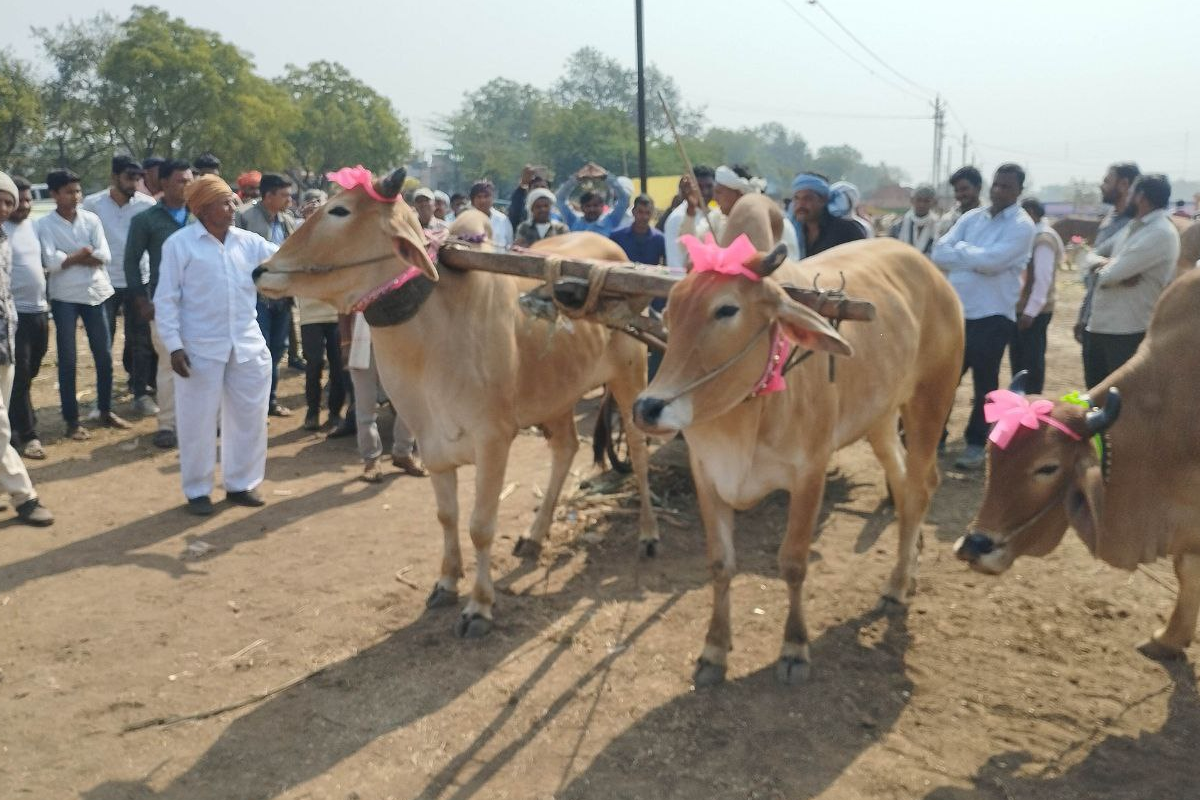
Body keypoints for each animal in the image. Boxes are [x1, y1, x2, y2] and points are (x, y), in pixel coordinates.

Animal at [252, 169, 657, 638]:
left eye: (339, 210)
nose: (260, 270)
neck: (430, 338)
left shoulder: (493, 440)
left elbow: (480, 526)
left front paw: (479, 606)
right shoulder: (431, 444)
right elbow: (447, 516)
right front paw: (446, 583)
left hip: (631, 377)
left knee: (639, 452)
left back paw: (648, 534)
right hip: (557, 395)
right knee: (566, 450)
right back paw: (534, 536)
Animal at [633, 232, 960, 690]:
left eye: (726, 309)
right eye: (671, 308)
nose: (647, 408)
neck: (748, 414)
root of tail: (930, 270)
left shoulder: (810, 475)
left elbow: (793, 563)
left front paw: (794, 647)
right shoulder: (708, 474)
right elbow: (720, 564)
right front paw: (714, 649)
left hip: (930, 401)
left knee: (920, 487)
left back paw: (897, 584)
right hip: (879, 417)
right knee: (902, 484)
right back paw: (908, 567)